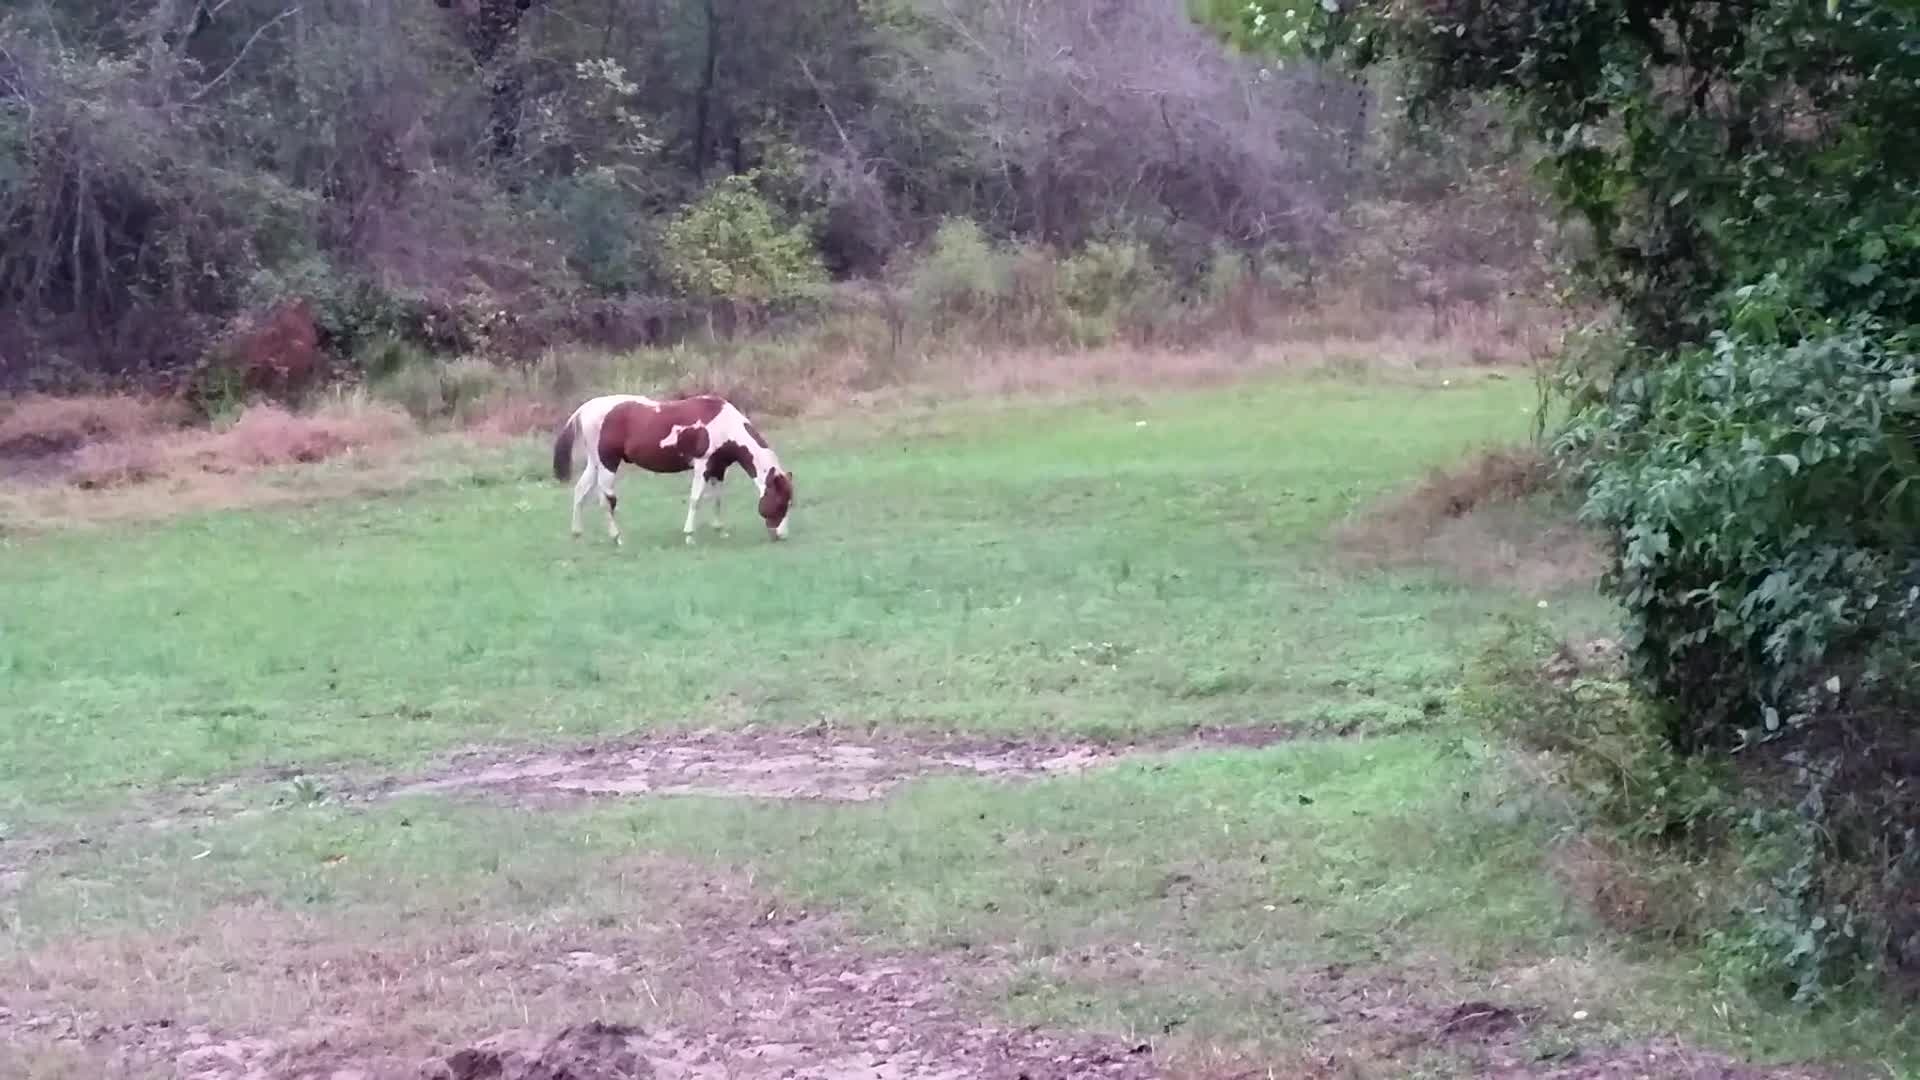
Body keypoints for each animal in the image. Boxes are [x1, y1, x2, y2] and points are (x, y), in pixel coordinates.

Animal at [551, 393, 794, 545]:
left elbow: (717, 499)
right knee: (606, 501)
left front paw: (720, 530)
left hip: (595, 463)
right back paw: (617, 538)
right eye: (780, 502)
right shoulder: (702, 465)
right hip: (608, 463)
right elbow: (696, 499)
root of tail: (585, 408)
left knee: (580, 491)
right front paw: (689, 536)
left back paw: (577, 534)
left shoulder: (718, 468)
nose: (781, 535)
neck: (725, 425)